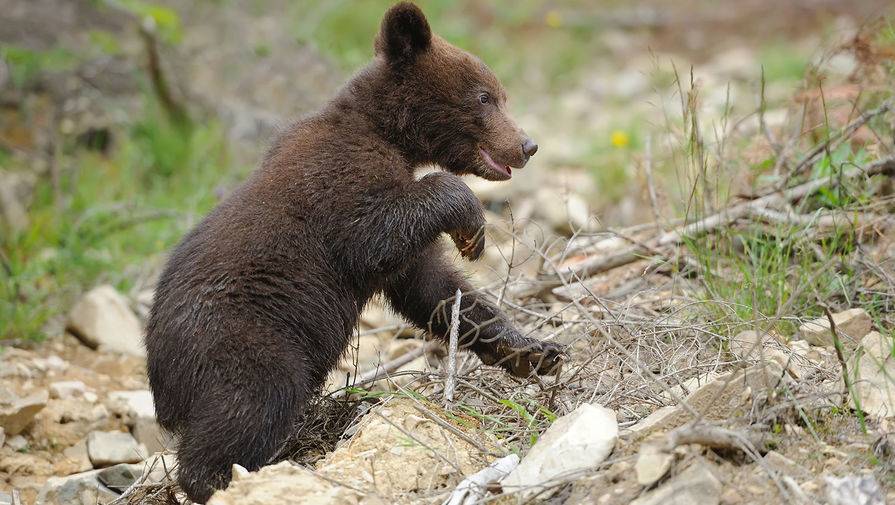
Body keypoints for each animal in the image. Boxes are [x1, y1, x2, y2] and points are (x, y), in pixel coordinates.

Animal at [148, 2, 568, 500]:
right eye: (485, 97)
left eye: (501, 94)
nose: (528, 144)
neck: (386, 132)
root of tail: (162, 384)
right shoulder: (338, 180)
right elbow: (372, 234)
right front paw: (471, 223)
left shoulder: (405, 250)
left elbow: (435, 289)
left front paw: (531, 349)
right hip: (243, 339)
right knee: (252, 400)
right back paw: (227, 478)